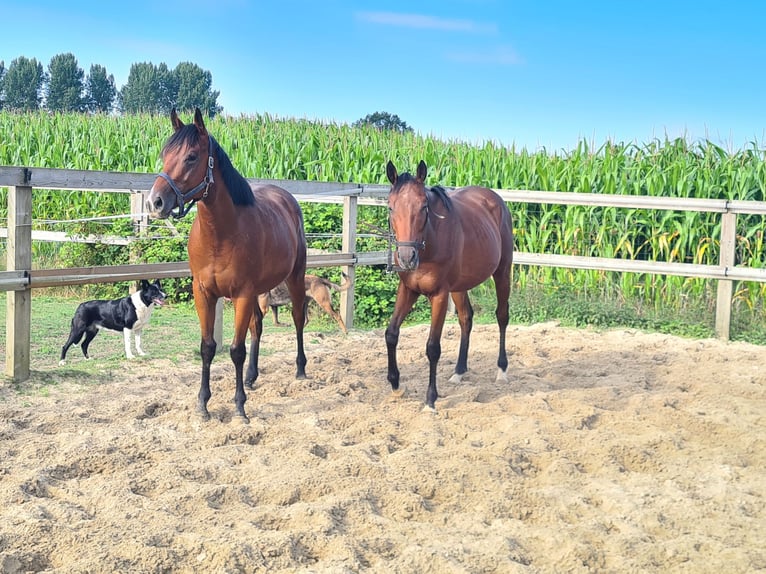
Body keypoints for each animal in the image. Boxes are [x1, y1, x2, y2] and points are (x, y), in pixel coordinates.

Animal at [146, 108, 308, 424]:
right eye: (165, 154)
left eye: (191, 157)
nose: (155, 202)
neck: (221, 235)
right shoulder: (204, 293)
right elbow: (207, 347)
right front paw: (203, 404)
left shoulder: (242, 294)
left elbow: (236, 350)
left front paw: (240, 407)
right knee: (258, 326)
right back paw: (251, 377)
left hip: (294, 278)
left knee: (297, 317)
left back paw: (300, 368)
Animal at [384, 160, 516, 412]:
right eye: (391, 207)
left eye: (424, 206)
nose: (406, 257)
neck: (429, 244)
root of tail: (495, 199)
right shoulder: (408, 289)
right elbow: (391, 334)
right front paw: (395, 385)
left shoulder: (439, 295)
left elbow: (433, 347)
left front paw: (430, 400)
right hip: (460, 286)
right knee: (466, 317)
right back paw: (459, 371)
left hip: (502, 272)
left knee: (502, 316)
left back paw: (502, 370)